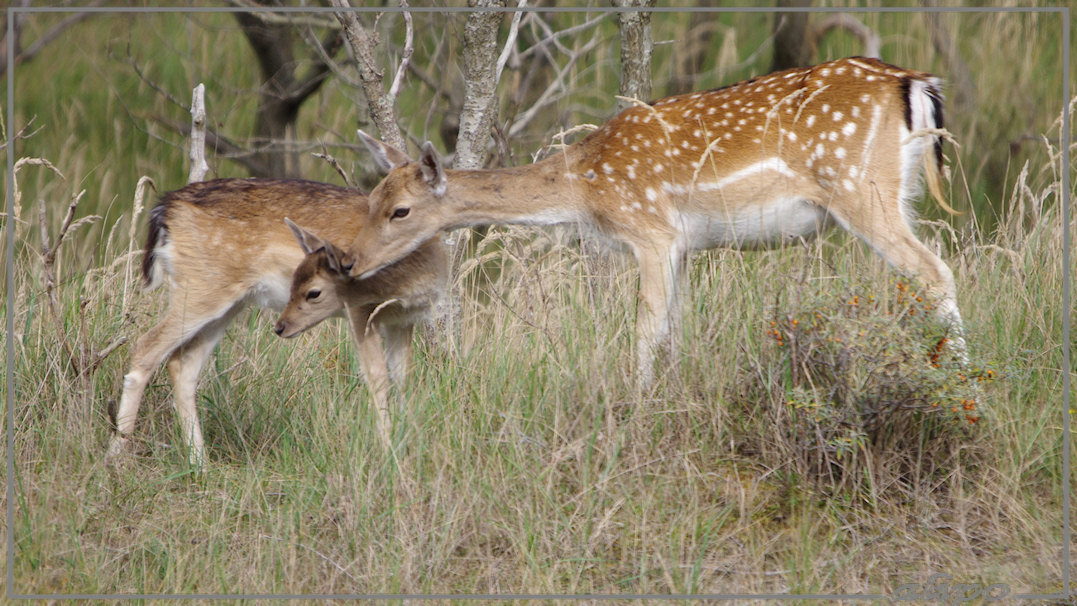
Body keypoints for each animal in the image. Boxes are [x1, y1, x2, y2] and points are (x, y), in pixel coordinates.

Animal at [109, 177, 445, 467]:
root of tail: (166, 208)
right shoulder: (362, 311)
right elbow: (378, 379)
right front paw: (389, 455)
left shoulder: (402, 319)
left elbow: (402, 381)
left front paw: (405, 449)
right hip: (201, 289)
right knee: (145, 346)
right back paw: (116, 455)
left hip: (228, 301)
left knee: (182, 363)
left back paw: (200, 463)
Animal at [342, 58, 969, 389]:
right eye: (370, 198)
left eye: (400, 210)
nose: (351, 261)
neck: (586, 187)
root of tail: (915, 84)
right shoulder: (685, 247)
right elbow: (677, 329)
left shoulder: (652, 231)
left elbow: (646, 329)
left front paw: (638, 404)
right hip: (896, 192)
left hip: (860, 188)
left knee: (934, 270)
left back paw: (963, 386)